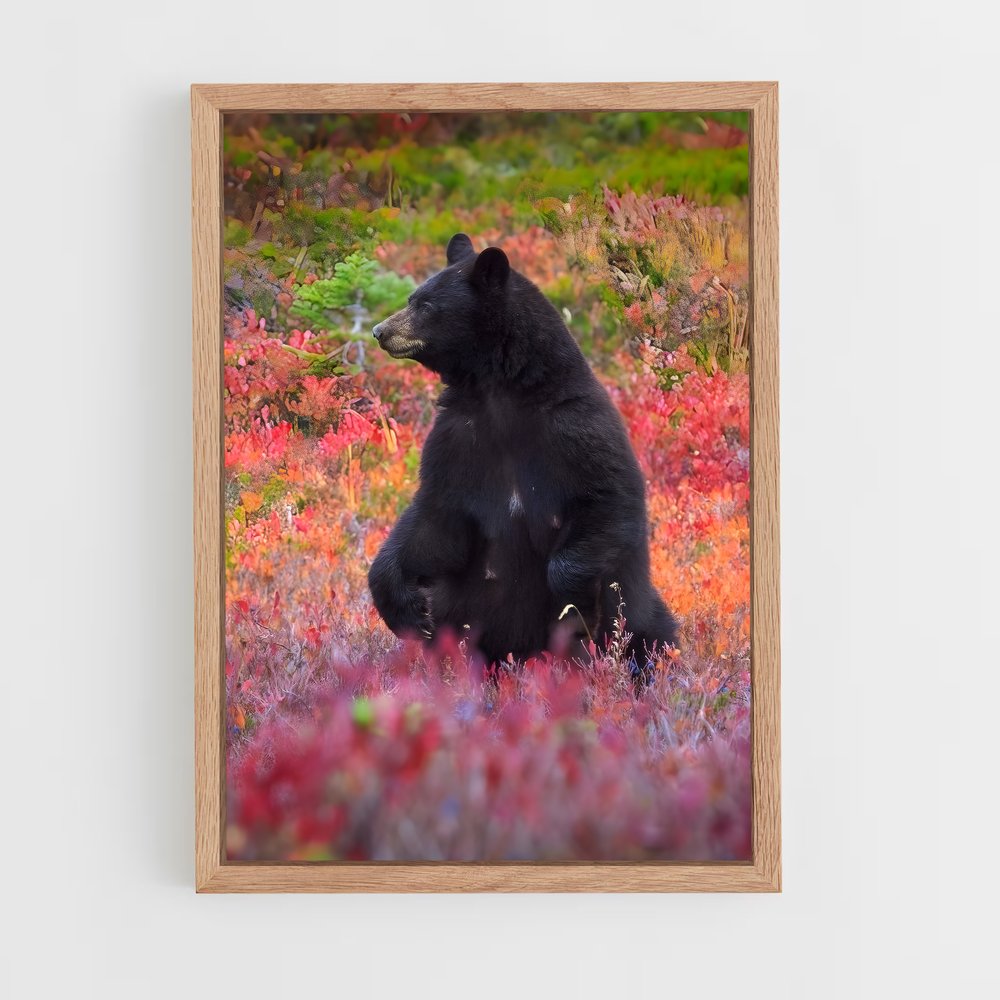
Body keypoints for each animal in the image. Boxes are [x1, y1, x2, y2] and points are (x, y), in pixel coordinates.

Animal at [368, 232, 677, 674]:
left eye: (425, 305)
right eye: (412, 297)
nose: (380, 330)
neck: (500, 395)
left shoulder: (577, 431)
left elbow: (606, 500)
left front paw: (576, 608)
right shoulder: (458, 440)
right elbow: (434, 518)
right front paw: (407, 607)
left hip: (643, 612)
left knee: (649, 633)